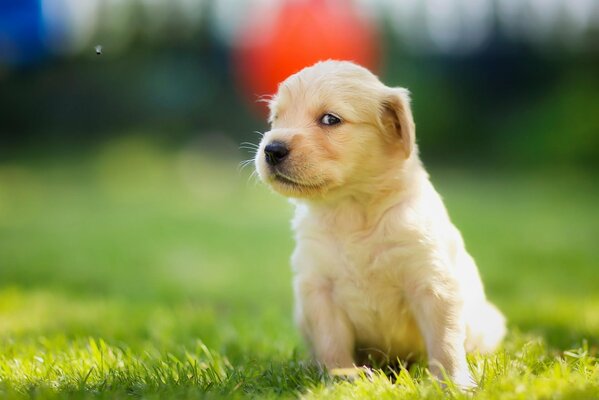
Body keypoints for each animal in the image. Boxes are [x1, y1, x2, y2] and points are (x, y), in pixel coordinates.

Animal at [253, 59, 506, 388]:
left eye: (330, 119)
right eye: (276, 118)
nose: (272, 150)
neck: (352, 210)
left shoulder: (432, 284)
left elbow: (445, 342)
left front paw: (454, 384)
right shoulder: (318, 288)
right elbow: (331, 342)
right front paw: (343, 378)